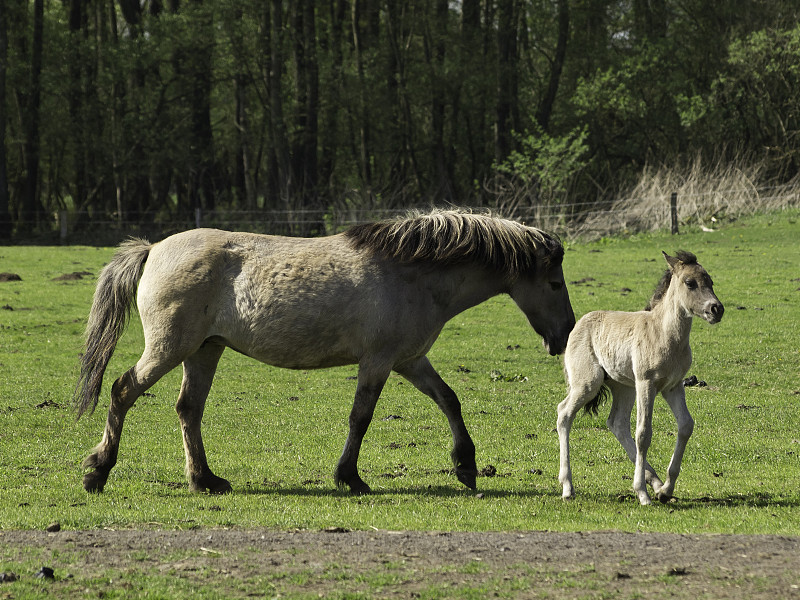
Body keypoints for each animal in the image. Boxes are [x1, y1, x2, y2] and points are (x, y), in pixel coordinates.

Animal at [75, 209, 576, 494]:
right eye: (554, 283)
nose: (566, 334)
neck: (413, 273)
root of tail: (155, 248)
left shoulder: (410, 360)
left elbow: (449, 400)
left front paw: (466, 466)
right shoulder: (379, 361)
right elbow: (361, 418)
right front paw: (350, 478)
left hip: (204, 350)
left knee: (188, 409)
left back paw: (205, 481)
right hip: (170, 347)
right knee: (122, 390)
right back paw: (98, 471)